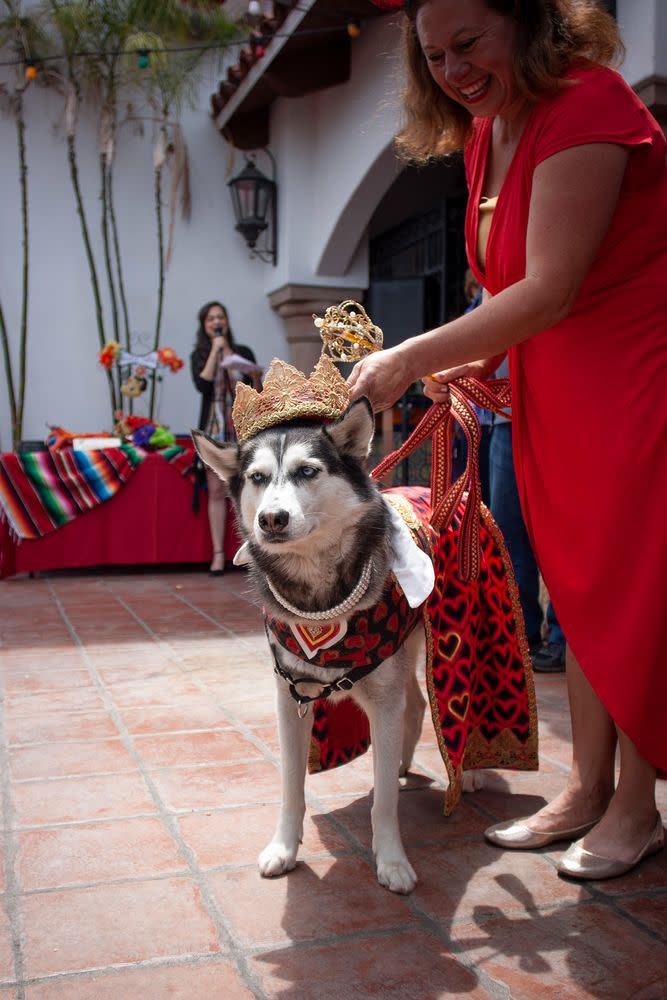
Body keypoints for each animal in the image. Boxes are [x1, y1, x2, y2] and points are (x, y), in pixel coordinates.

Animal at [196, 400, 430, 900]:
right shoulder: (290, 699)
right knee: (418, 705)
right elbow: (291, 785)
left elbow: (383, 800)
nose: (271, 519)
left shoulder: (383, 701)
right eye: (258, 478)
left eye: (307, 471)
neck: (319, 601)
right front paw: (283, 848)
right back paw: (404, 765)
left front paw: (392, 861)